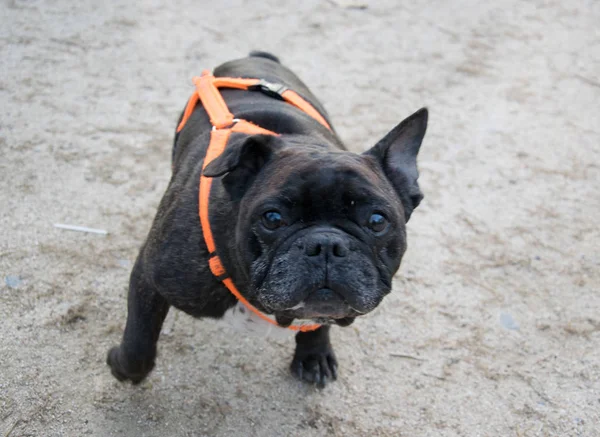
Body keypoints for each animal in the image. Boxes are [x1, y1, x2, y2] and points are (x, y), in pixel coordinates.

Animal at [108, 50, 426, 384]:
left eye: (377, 221)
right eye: (272, 218)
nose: (326, 244)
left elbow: (319, 321)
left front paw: (314, 354)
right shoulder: (150, 276)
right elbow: (139, 341)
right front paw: (122, 365)